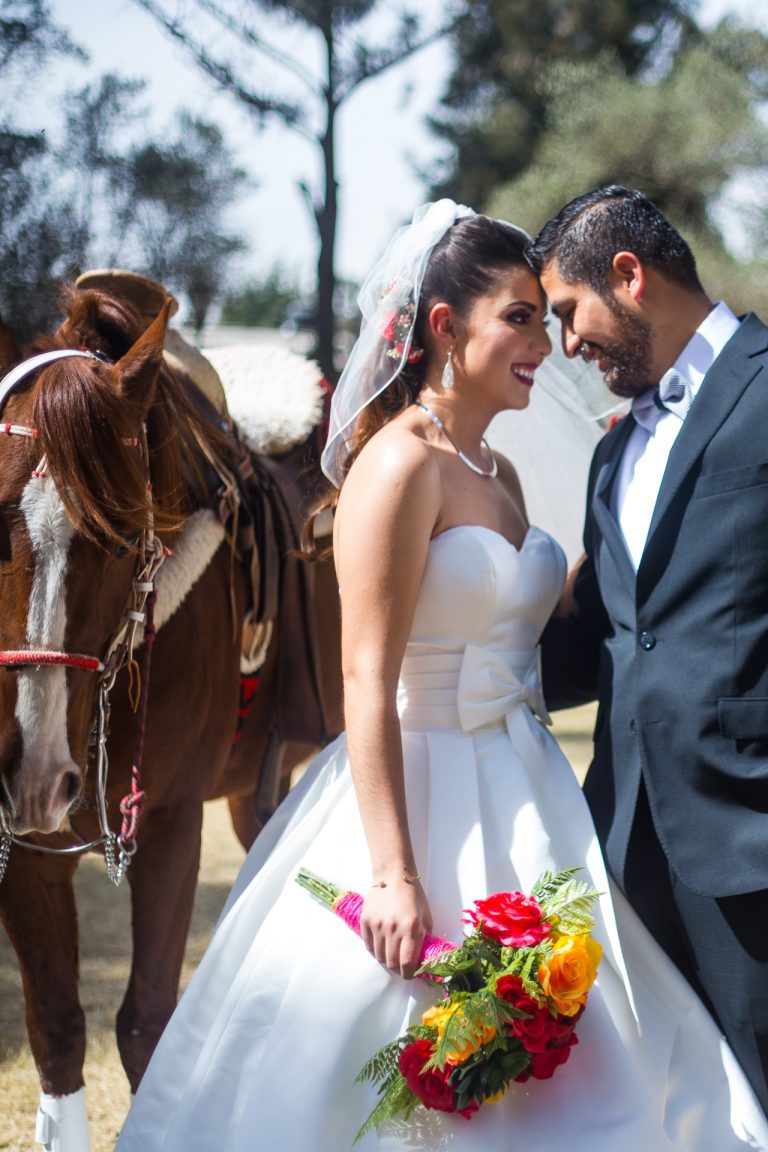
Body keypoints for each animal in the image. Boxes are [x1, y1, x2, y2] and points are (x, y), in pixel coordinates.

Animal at [0, 281, 343, 1152]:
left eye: (124, 537)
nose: (36, 769)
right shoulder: (26, 844)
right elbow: (57, 1028)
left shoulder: (168, 822)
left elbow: (145, 1022)